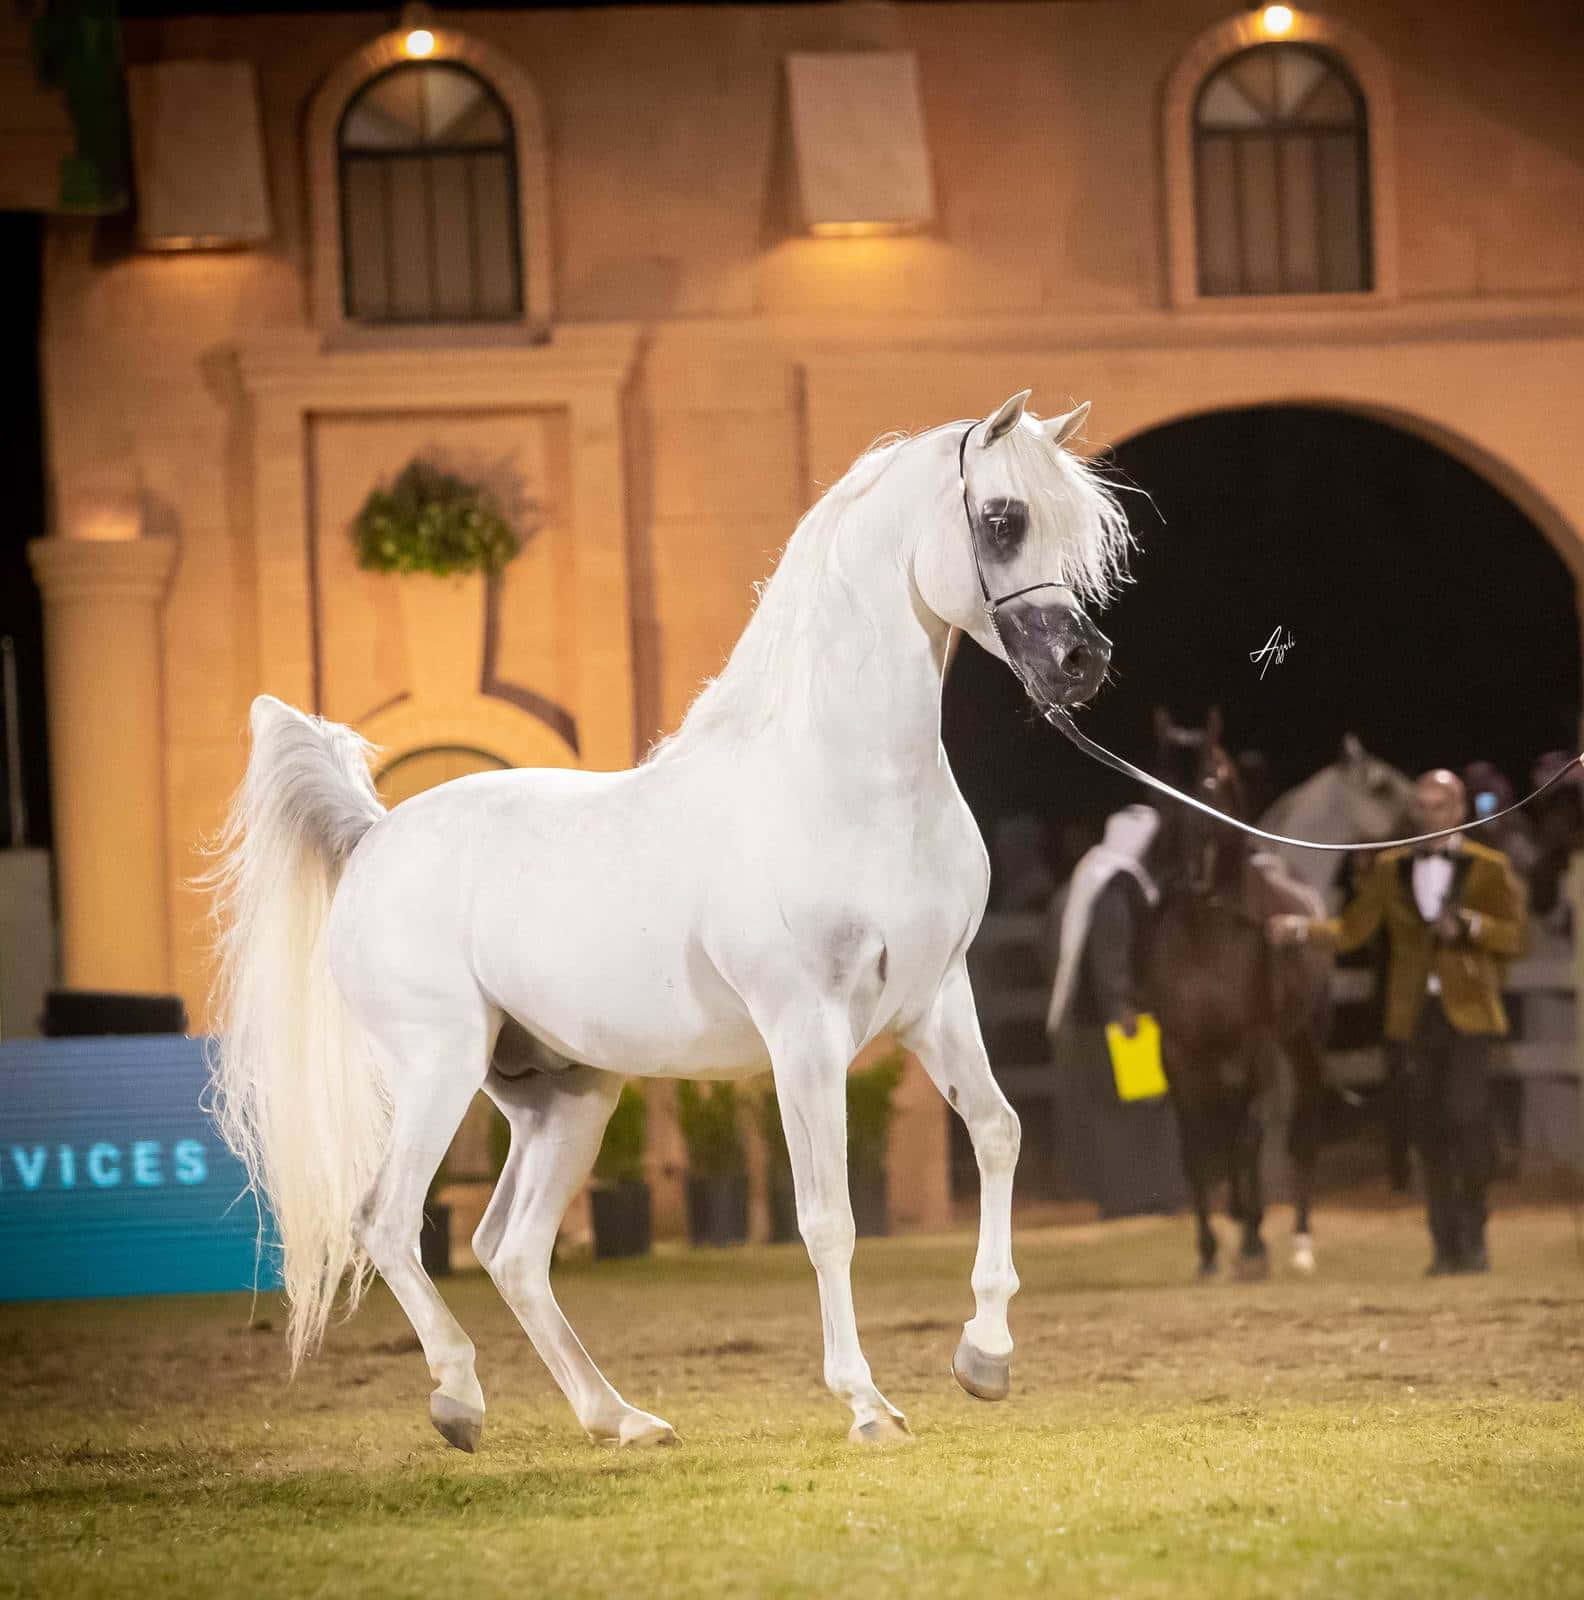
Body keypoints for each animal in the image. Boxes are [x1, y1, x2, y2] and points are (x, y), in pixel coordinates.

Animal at [207, 389, 1129, 1451]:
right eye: (1002, 519)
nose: (1080, 663)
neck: (846, 787)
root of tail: (375, 835)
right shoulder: (806, 1036)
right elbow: (828, 1218)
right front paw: (867, 1404)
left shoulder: (936, 1004)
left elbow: (998, 1132)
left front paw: (985, 1357)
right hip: (440, 1066)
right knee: (390, 1222)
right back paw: (460, 1399)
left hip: (564, 1094)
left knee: (510, 1249)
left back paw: (621, 1418)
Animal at [1147, 709, 1333, 1279]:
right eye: (1162, 784)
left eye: (1209, 783)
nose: (1179, 875)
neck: (1207, 933)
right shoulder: (1179, 1050)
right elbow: (1196, 1144)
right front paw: (1209, 1250)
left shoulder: (1256, 1043)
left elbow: (1251, 1136)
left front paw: (1253, 1244)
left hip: (1300, 1040)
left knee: (1299, 1127)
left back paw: (1299, 1238)